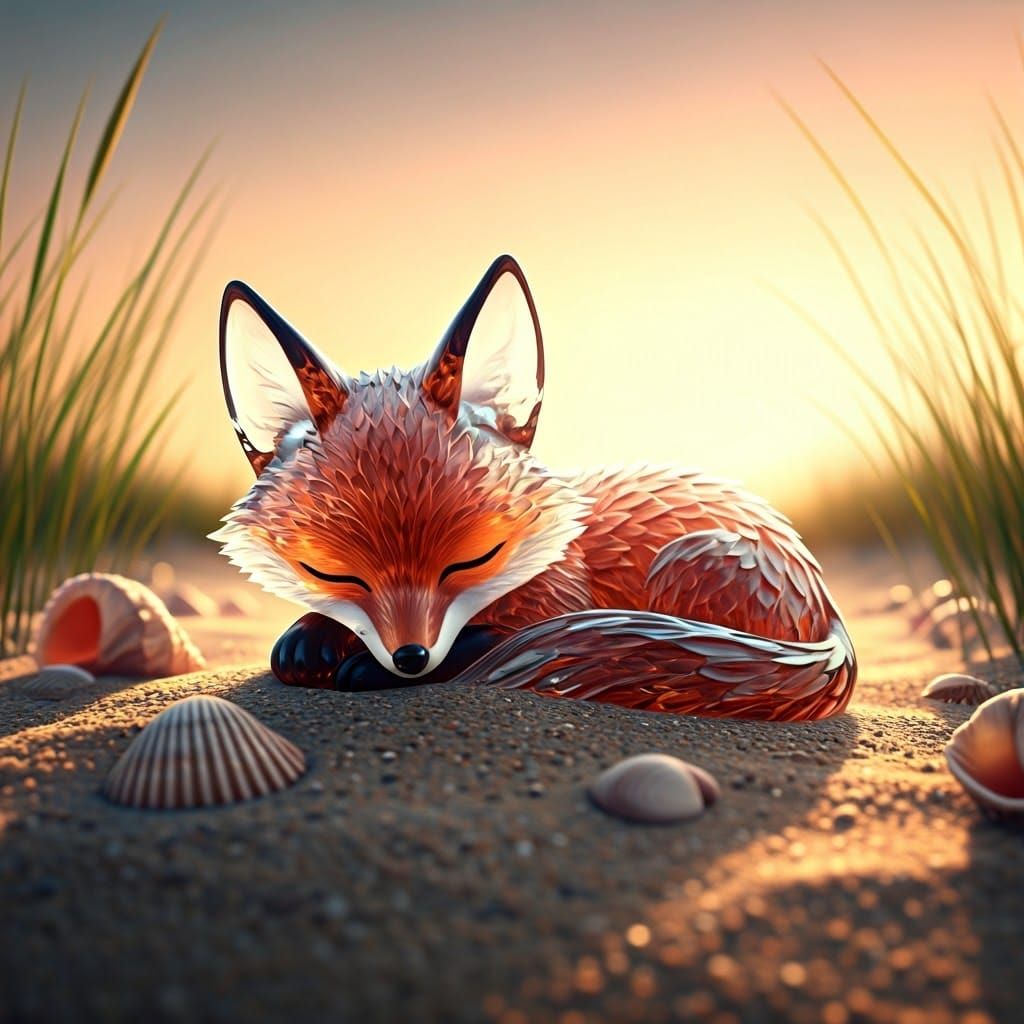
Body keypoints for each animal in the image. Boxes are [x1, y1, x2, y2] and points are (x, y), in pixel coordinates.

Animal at [211, 255, 857, 721]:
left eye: (474, 558)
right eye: (332, 573)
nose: (410, 658)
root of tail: (824, 604)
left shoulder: (562, 600)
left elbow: (487, 642)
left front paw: (368, 667)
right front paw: (313, 637)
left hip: (686, 562)